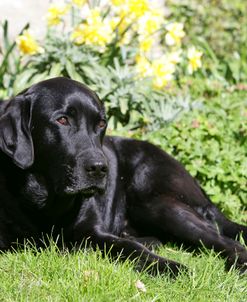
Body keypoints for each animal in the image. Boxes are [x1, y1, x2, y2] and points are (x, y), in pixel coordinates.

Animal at [0, 78, 246, 276]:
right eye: (62, 120)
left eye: (101, 124)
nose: (100, 168)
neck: (45, 202)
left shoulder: (92, 231)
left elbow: (131, 248)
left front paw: (170, 266)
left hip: (157, 203)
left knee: (224, 239)